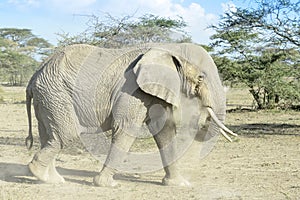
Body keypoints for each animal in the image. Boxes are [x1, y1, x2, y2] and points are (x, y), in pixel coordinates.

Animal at [25, 43, 236, 187]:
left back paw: (50, 179)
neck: (169, 52)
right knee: (65, 135)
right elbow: (126, 128)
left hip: (48, 98)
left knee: (48, 135)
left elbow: (164, 131)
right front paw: (107, 185)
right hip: (56, 95)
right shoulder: (133, 89)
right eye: (201, 78)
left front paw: (179, 185)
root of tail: (33, 77)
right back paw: (39, 173)